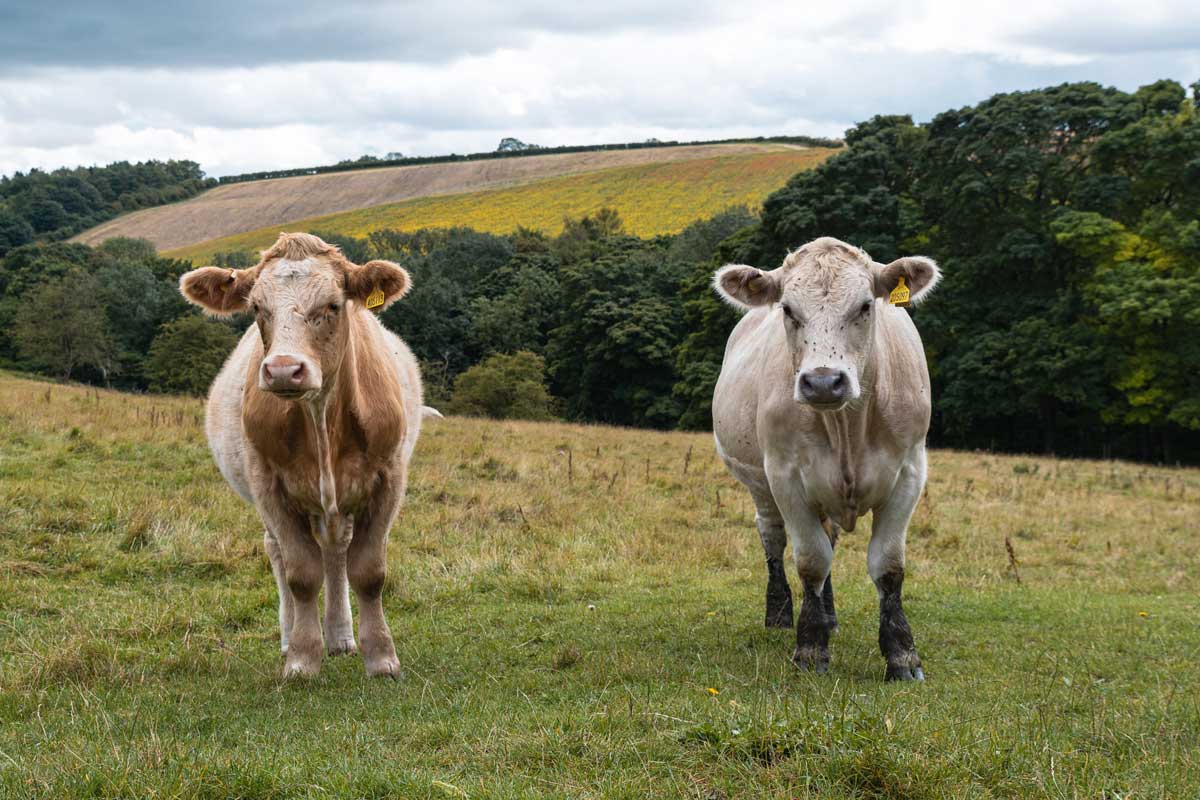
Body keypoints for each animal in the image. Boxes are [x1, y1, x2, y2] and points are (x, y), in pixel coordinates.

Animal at [177, 235, 422, 681]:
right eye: (257, 308)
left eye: (333, 305)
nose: (283, 370)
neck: (320, 417)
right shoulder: (268, 484)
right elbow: (302, 574)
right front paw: (303, 659)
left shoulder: (389, 477)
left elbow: (368, 571)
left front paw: (380, 658)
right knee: (280, 552)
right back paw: (291, 636)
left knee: (336, 553)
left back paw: (340, 636)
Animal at [705, 237, 940, 681]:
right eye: (787, 309)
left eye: (865, 306)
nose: (824, 382)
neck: (847, 427)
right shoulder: (785, 476)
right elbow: (812, 560)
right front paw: (811, 648)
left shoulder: (909, 472)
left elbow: (888, 565)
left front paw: (902, 655)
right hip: (758, 482)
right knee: (773, 537)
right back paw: (780, 613)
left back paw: (829, 615)